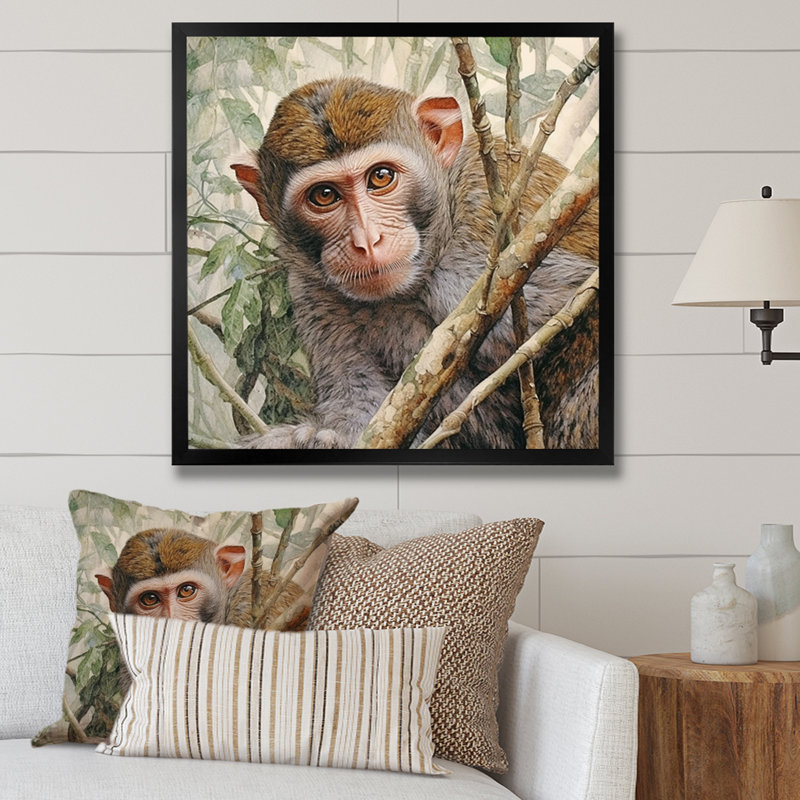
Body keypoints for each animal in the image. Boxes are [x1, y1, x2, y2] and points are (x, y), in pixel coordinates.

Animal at [231, 76, 600, 450]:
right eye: (324, 195)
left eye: (381, 177)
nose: (367, 240)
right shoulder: (311, 289)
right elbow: (364, 409)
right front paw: (311, 438)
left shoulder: (491, 229)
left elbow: (583, 300)